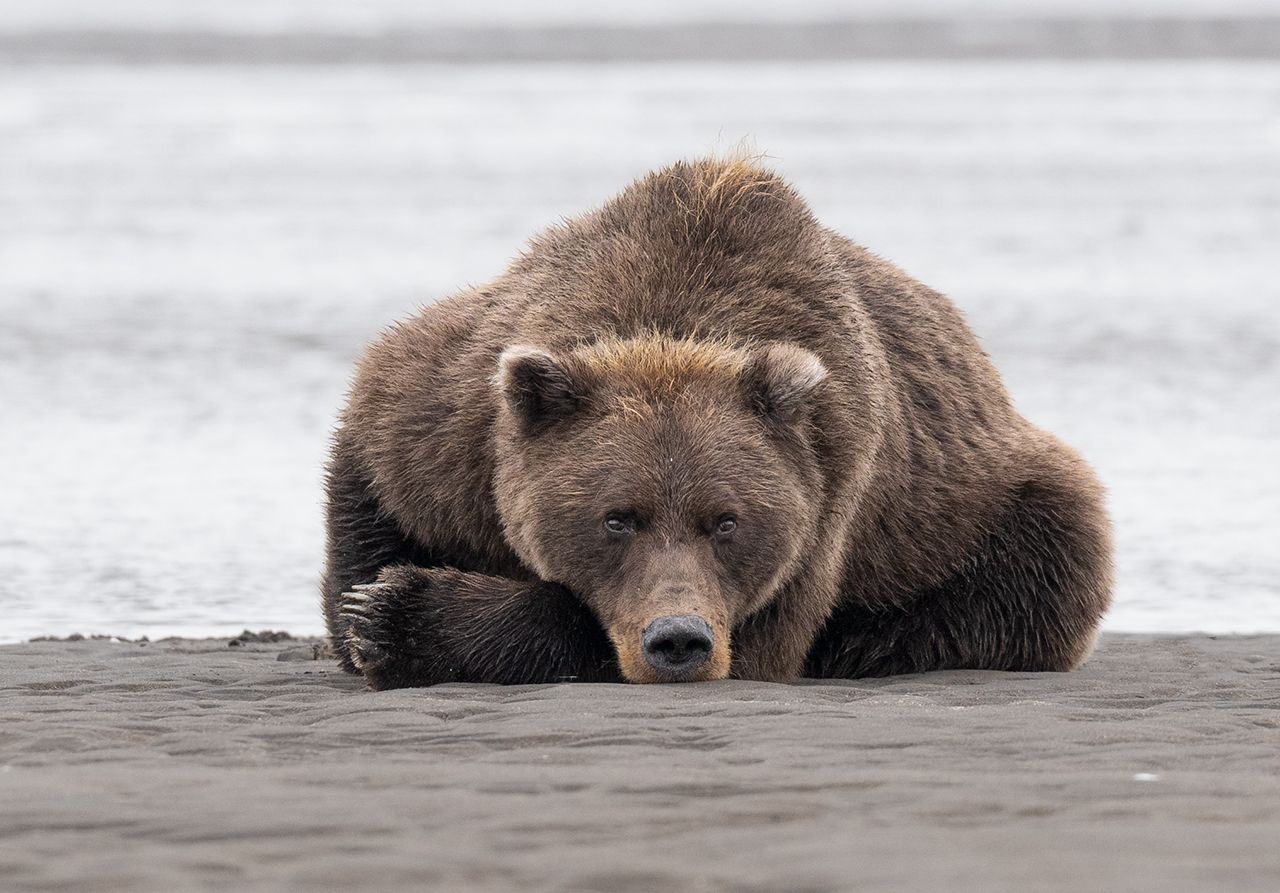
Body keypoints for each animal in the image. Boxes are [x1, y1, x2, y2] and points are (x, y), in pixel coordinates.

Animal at [322, 155, 1113, 690]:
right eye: (617, 517)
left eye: (726, 521)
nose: (679, 640)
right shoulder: (450, 423)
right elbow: (376, 479)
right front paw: (370, 607)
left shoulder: (826, 488)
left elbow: (754, 636)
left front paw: (403, 615)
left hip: (984, 502)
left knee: (1044, 567)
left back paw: (862, 645)